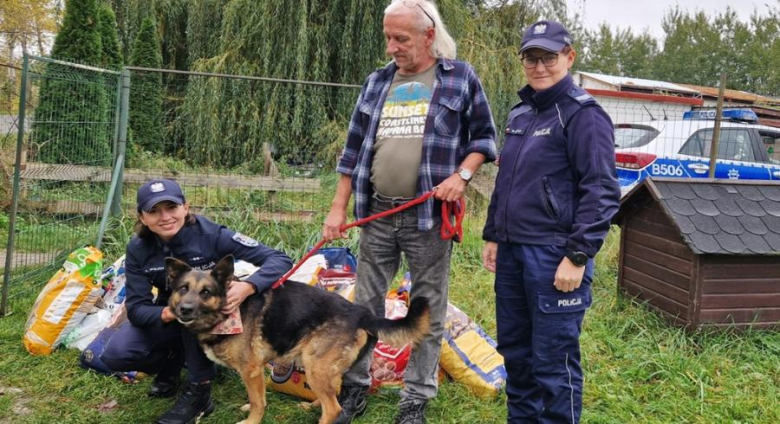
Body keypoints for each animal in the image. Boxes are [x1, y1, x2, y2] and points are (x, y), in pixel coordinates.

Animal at [167, 255, 430, 424]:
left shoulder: (250, 370)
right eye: (183, 288)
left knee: (333, 409)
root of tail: (362, 313)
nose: (184, 310)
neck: (229, 311)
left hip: (315, 367)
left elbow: (258, 402)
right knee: (332, 392)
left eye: (206, 292)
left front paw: (251, 421)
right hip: (319, 366)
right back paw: (313, 405)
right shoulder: (256, 371)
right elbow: (257, 397)